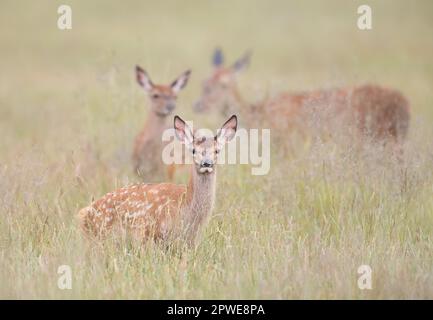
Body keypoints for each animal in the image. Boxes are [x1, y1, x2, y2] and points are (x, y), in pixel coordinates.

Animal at [194, 47, 410, 146]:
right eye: (203, 83)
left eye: (222, 85)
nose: (198, 105)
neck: (260, 115)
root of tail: (404, 105)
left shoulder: (286, 140)